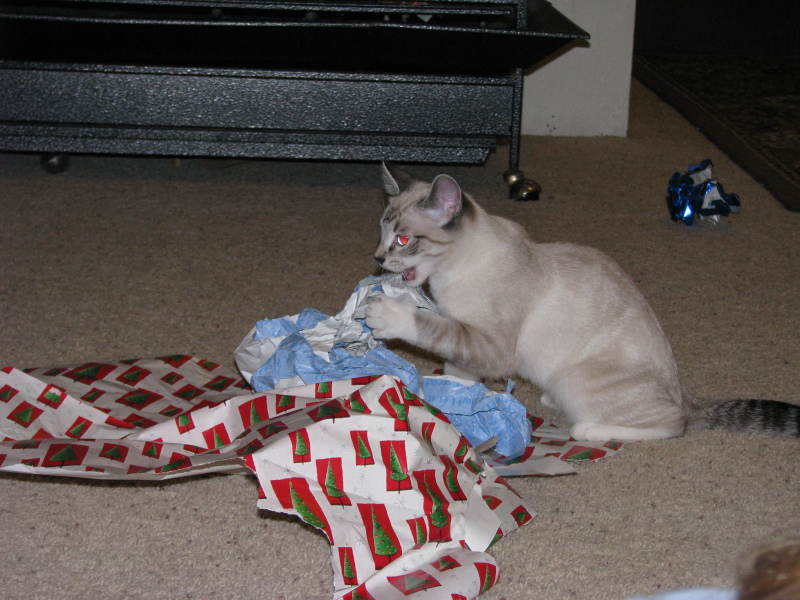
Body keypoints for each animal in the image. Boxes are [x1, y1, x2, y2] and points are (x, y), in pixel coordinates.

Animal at [365, 163, 800, 441]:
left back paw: (587, 428)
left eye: (402, 240)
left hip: (576, 381)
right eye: (382, 234)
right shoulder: (468, 345)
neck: (447, 277)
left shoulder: (488, 344)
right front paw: (452, 400)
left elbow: (432, 327)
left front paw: (386, 314)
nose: (378, 259)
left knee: (674, 424)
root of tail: (682, 390)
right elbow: (457, 371)